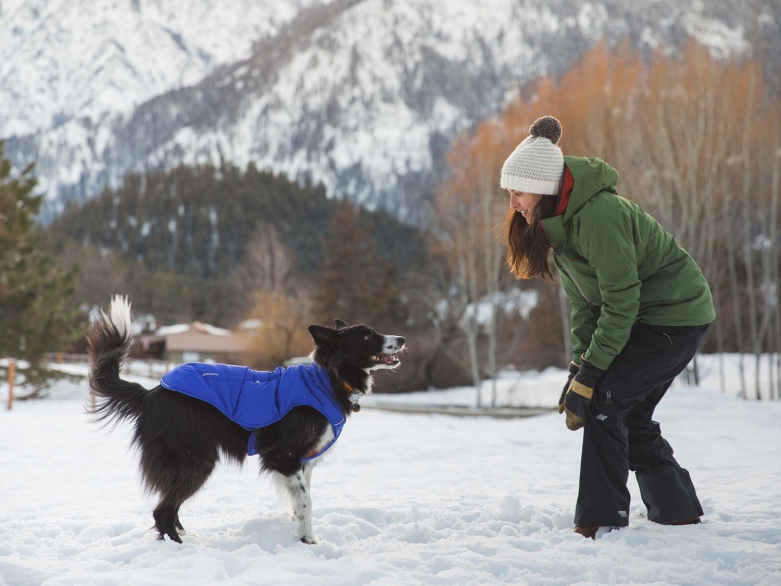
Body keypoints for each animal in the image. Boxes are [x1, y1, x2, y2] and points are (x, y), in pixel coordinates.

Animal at [87, 296, 406, 544]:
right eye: (367, 336)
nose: (402, 339)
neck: (328, 380)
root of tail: (151, 393)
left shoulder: (305, 460)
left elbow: (302, 497)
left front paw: (300, 529)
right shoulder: (282, 454)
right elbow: (307, 499)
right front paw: (308, 539)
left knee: (169, 507)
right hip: (195, 461)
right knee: (162, 510)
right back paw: (177, 545)